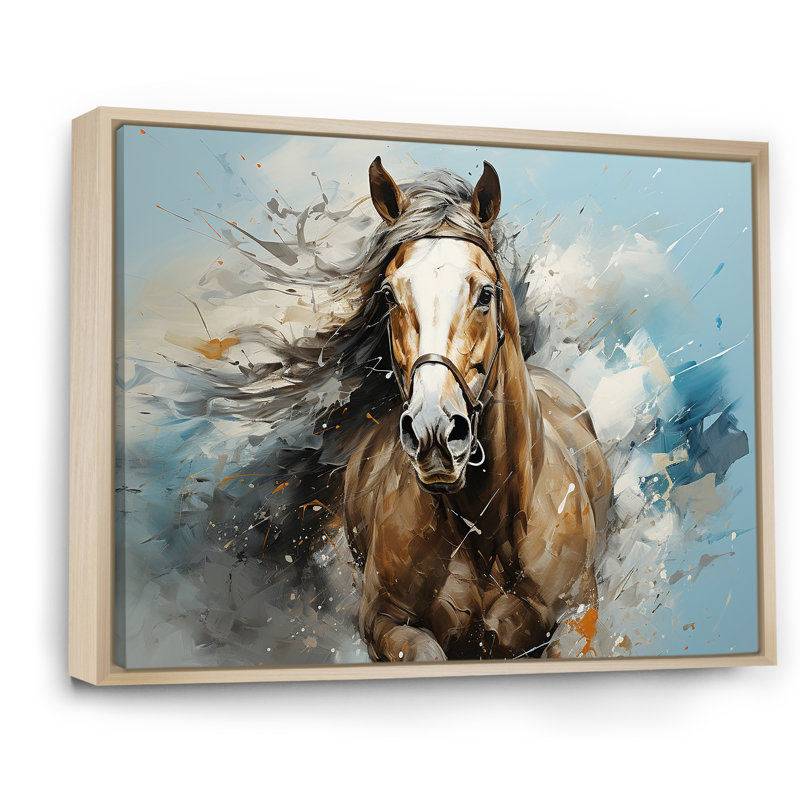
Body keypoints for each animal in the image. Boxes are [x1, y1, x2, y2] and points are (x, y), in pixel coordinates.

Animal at [342, 157, 613, 661]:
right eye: (388, 295)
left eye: (485, 293)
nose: (432, 433)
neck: (486, 534)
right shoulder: (383, 622)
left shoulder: (576, 619)